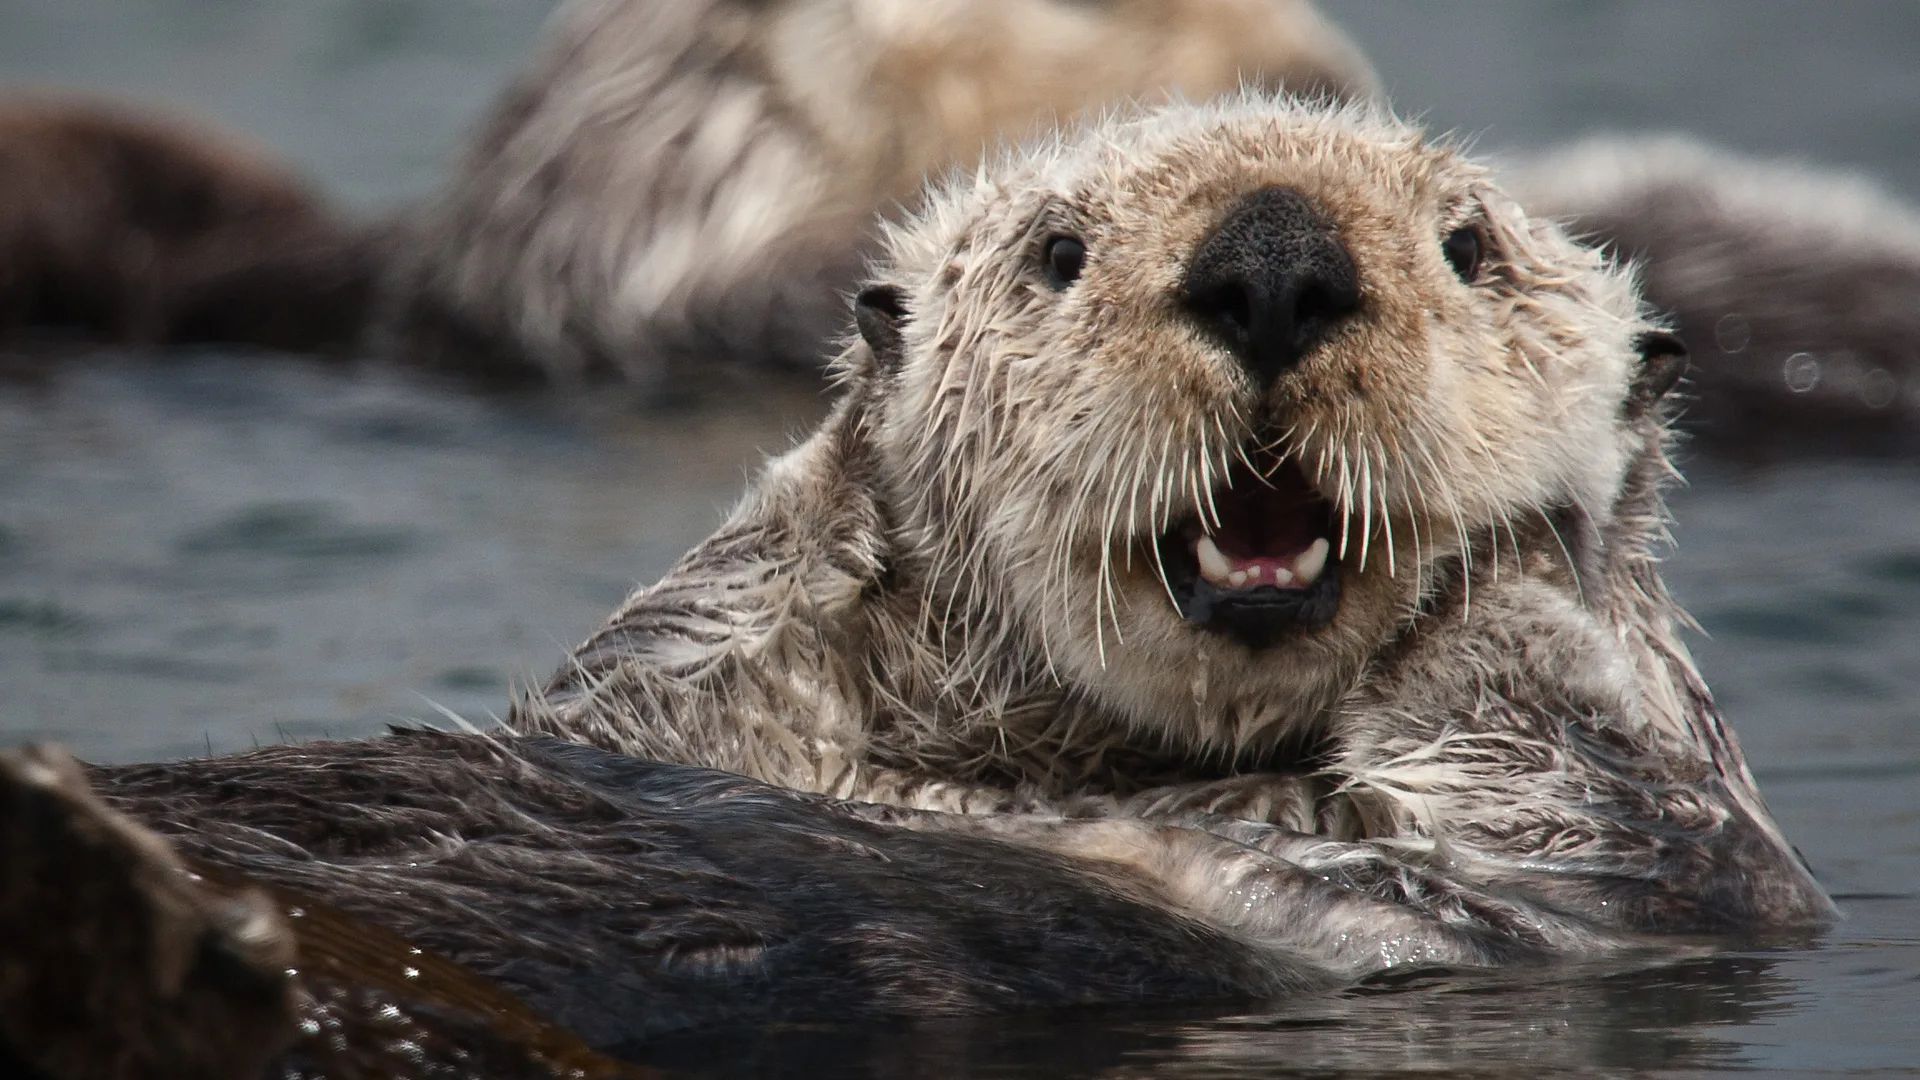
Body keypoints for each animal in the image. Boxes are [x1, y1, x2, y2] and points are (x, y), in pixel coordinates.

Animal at [515, 92, 1835, 939]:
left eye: (1470, 247)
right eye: (1057, 251)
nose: (1275, 260)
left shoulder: (1691, 866)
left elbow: (1653, 833)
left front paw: (1516, 582)